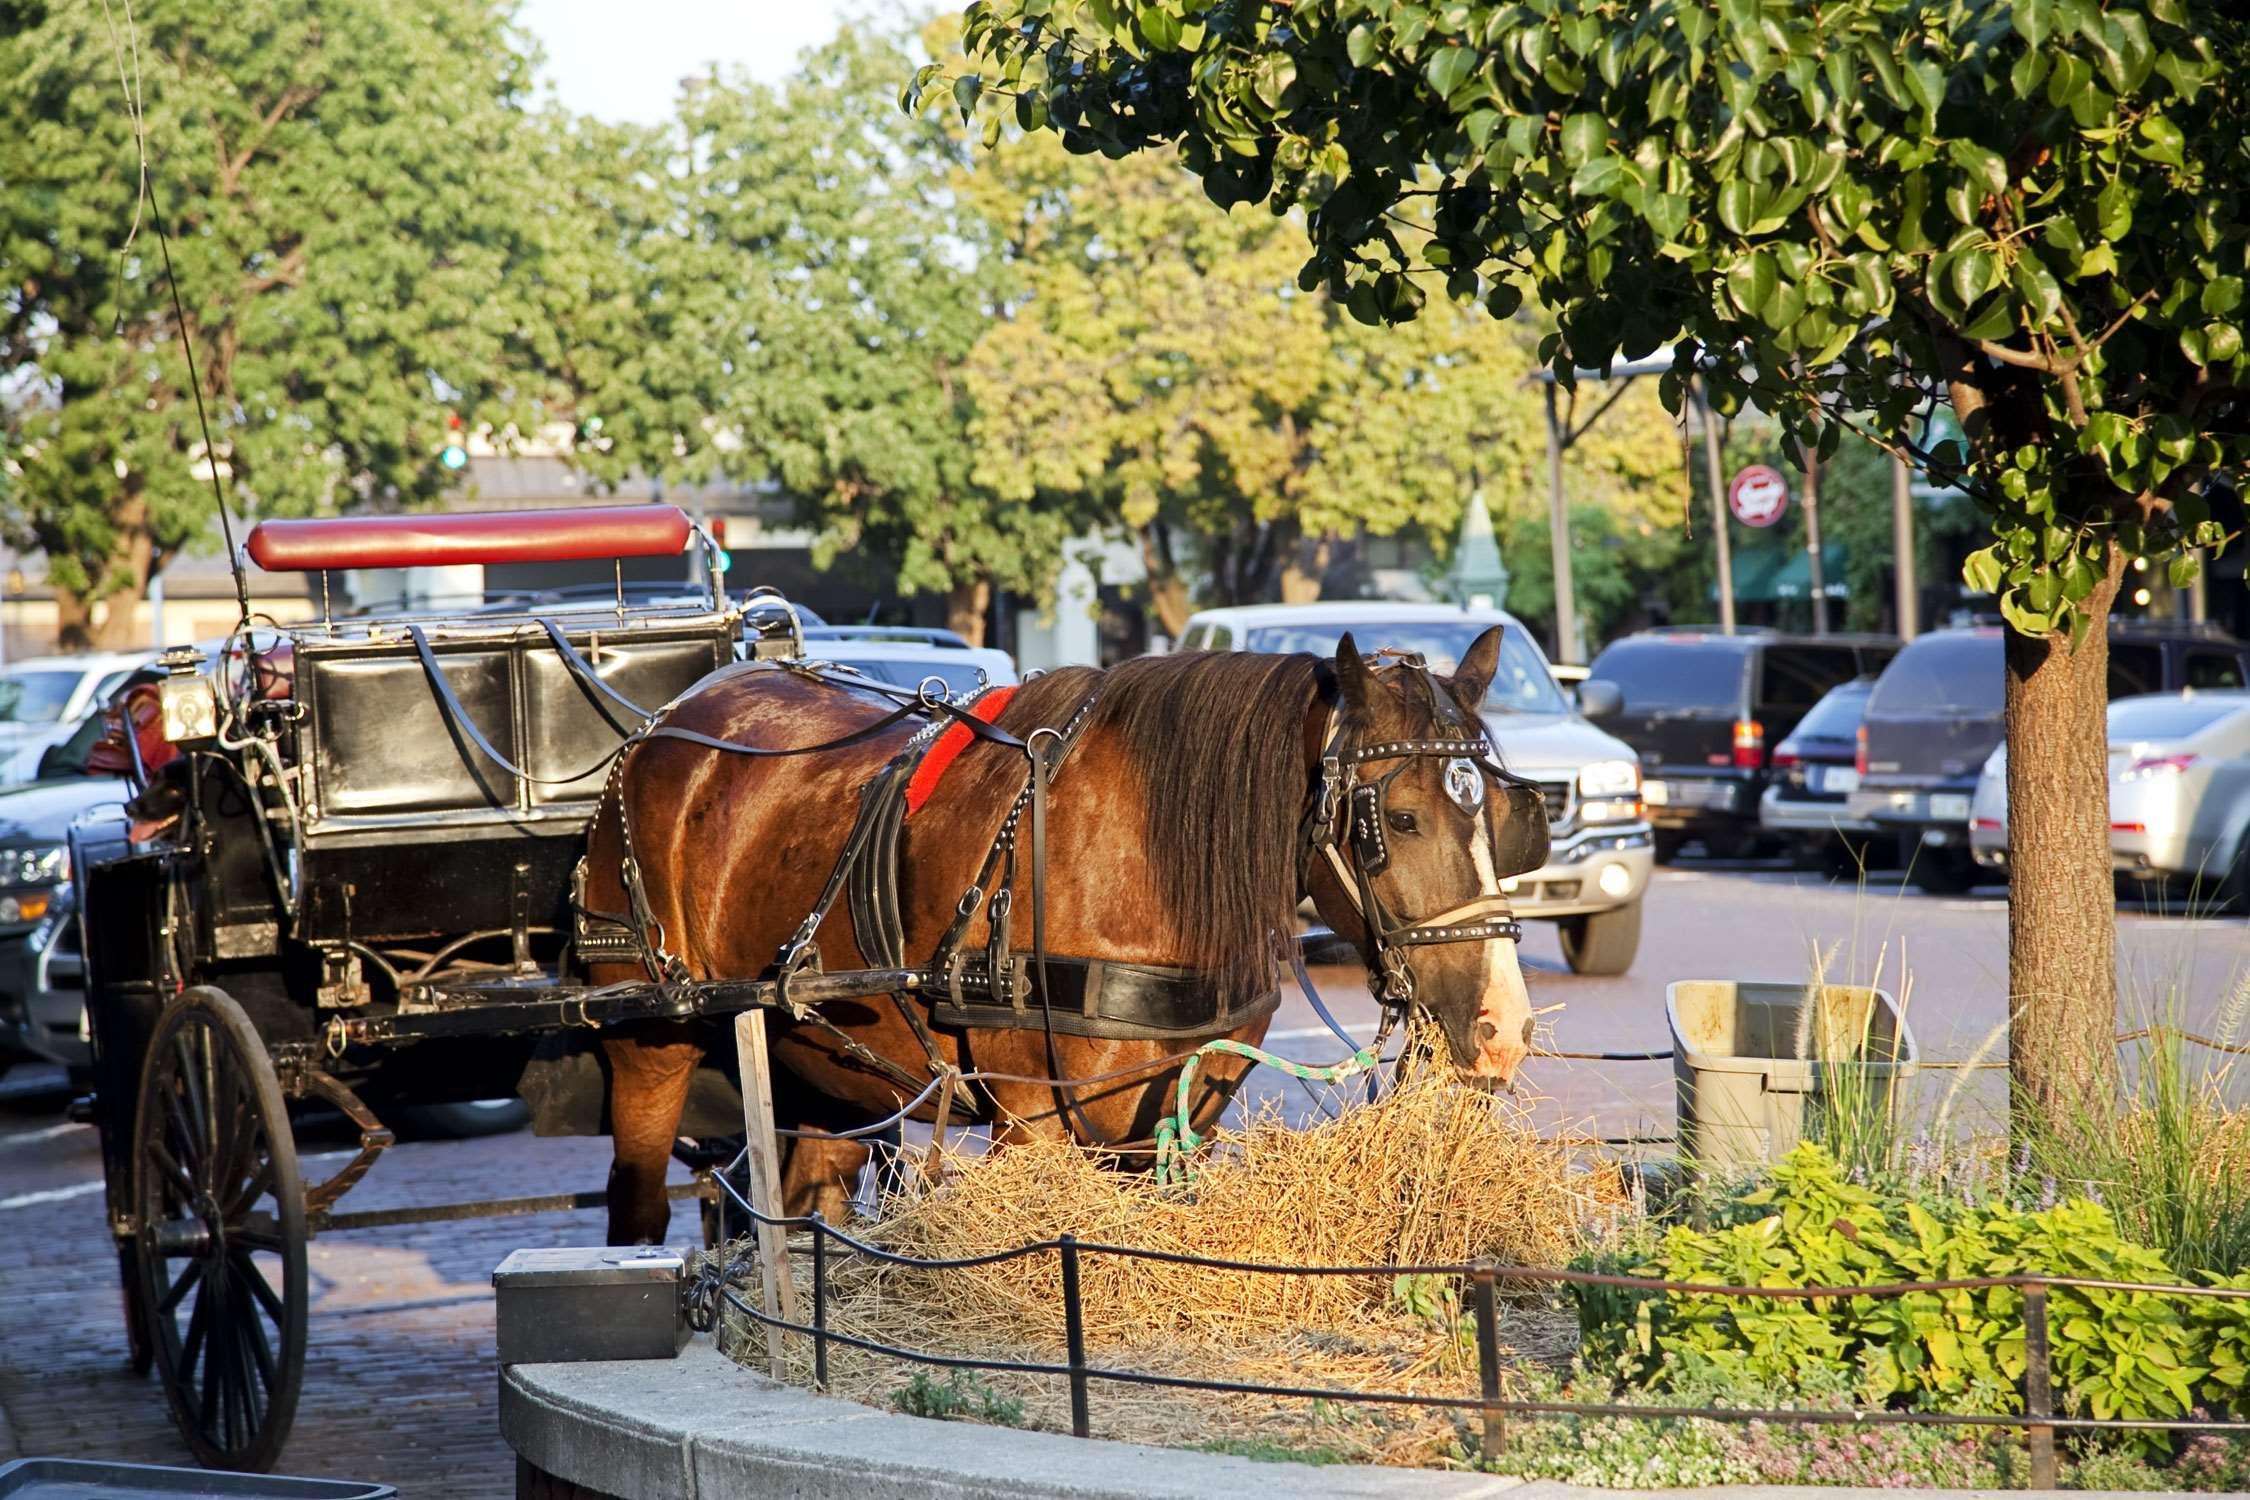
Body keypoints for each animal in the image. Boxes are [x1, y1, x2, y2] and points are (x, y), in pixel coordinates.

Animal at [585, 629, 1548, 1241]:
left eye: (1504, 816)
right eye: (1401, 820)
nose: (1503, 1027)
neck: (1140, 859)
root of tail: (667, 723)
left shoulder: (1179, 1124)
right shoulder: (1034, 1124)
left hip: (827, 1062)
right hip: (650, 1037)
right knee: (637, 1199)